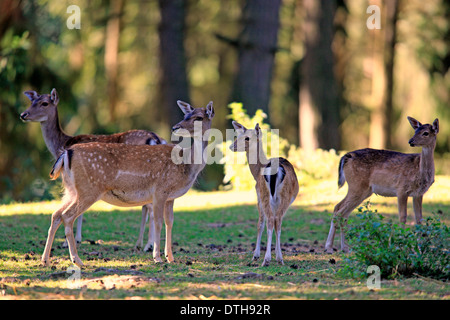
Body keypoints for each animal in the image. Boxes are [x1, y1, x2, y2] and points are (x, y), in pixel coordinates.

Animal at [20, 89, 166, 251]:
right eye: (32, 101)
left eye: (44, 103)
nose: (23, 114)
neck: (61, 144)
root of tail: (155, 139)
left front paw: (72, 240)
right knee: (148, 205)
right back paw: (142, 244)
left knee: (149, 207)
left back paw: (147, 245)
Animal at [43, 101, 215, 266]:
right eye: (186, 115)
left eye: (198, 117)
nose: (175, 127)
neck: (186, 165)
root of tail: (65, 153)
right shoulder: (160, 190)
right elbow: (158, 222)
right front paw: (157, 257)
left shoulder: (170, 197)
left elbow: (170, 222)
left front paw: (170, 258)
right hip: (88, 188)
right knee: (67, 216)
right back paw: (77, 260)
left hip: (71, 190)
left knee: (56, 214)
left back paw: (45, 260)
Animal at [229, 121, 298, 266]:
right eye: (238, 135)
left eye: (247, 138)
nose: (232, 146)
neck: (256, 172)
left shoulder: (258, 194)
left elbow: (260, 223)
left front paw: (255, 255)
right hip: (283, 197)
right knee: (277, 221)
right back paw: (278, 258)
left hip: (266, 194)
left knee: (271, 220)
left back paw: (267, 259)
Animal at [326, 116, 442, 254]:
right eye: (415, 130)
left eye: (425, 133)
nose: (411, 141)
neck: (420, 172)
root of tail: (346, 157)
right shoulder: (401, 189)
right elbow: (403, 217)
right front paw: (400, 246)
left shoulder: (419, 193)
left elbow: (419, 220)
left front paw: (419, 250)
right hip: (357, 186)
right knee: (338, 210)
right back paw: (329, 247)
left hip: (364, 190)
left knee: (342, 212)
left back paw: (345, 248)